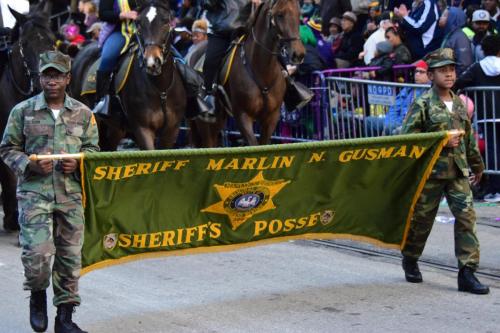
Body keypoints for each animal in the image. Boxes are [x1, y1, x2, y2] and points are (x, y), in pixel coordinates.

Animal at [70, 0, 186, 150]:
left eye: (166, 21)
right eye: (139, 23)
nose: (152, 61)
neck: (161, 89)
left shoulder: (171, 131)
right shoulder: (142, 129)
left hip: (115, 129)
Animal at [191, 0, 302, 146]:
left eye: (299, 14)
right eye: (280, 14)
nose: (298, 54)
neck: (262, 71)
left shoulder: (271, 118)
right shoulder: (243, 116)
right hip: (206, 123)